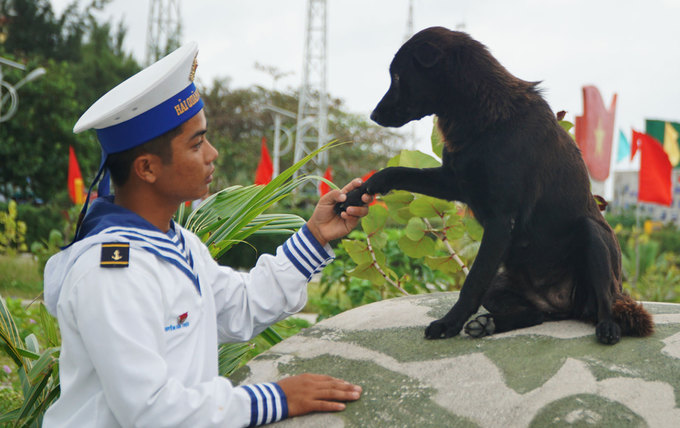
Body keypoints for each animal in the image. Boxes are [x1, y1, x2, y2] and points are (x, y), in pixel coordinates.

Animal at [338, 26, 652, 344]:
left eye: (399, 76)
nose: (373, 115)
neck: (485, 117)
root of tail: (560, 302)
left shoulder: (501, 219)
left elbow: (471, 283)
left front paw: (448, 324)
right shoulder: (453, 181)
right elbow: (394, 171)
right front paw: (354, 196)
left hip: (594, 238)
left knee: (604, 302)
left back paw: (608, 327)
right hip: (500, 284)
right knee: (535, 315)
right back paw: (487, 324)